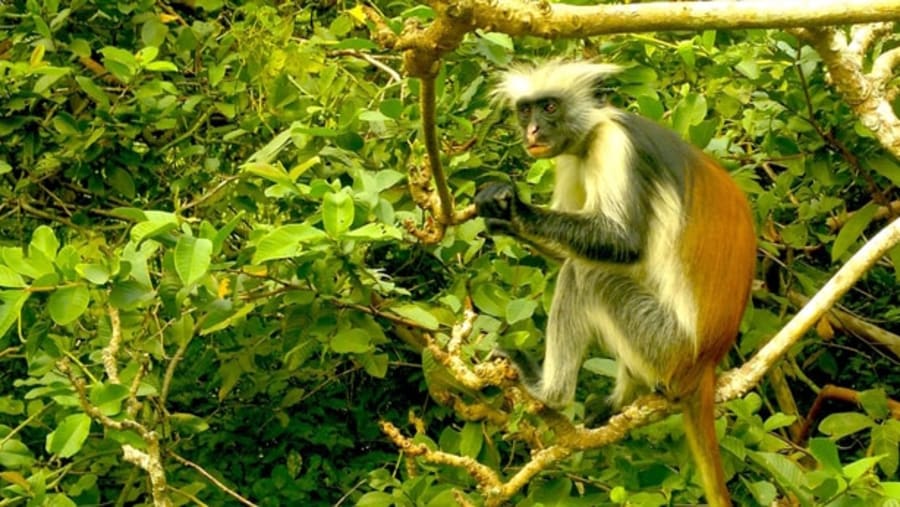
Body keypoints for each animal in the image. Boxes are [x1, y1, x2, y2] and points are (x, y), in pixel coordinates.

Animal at [475, 60, 756, 507]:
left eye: (550, 107)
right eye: (525, 110)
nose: (532, 131)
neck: (592, 131)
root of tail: (706, 362)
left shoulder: (614, 146)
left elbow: (621, 244)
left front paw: (516, 209)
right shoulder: (573, 159)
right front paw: (501, 216)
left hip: (664, 343)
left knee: (586, 274)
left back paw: (550, 392)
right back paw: (621, 398)